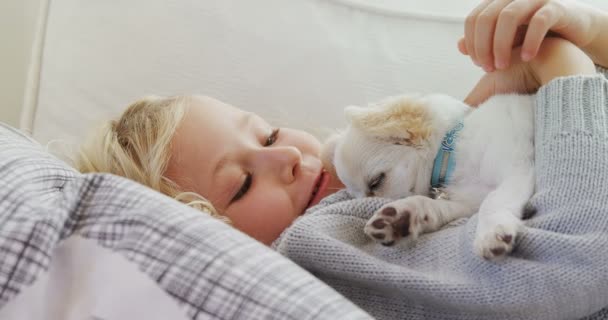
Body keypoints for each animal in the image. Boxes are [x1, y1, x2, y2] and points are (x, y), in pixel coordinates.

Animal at [324, 94, 532, 258]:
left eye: (376, 182)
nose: (366, 202)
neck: (451, 153)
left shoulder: (517, 166)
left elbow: (493, 199)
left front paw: (492, 229)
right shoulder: (468, 200)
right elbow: (430, 203)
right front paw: (402, 217)